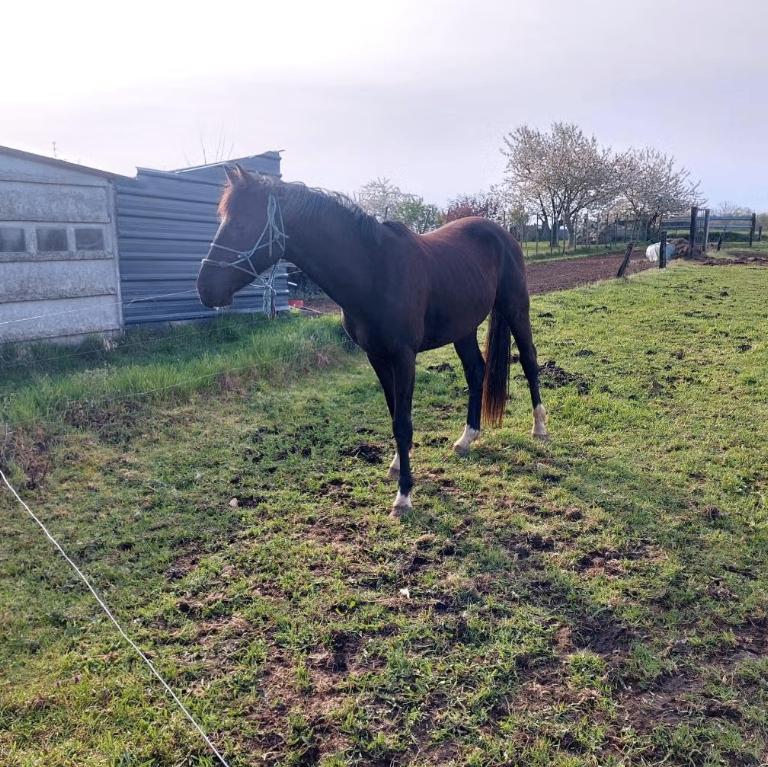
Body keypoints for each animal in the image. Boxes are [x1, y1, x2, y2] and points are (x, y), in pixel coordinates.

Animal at [197, 166, 548, 517]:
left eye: (241, 225)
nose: (205, 288)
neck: (374, 270)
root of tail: (503, 234)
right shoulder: (376, 356)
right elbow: (394, 414)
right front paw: (397, 466)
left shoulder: (403, 356)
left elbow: (403, 422)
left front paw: (404, 496)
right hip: (463, 328)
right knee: (476, 372)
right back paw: (467, 439)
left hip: (516, 309)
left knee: (529, 361)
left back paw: (539, 428)